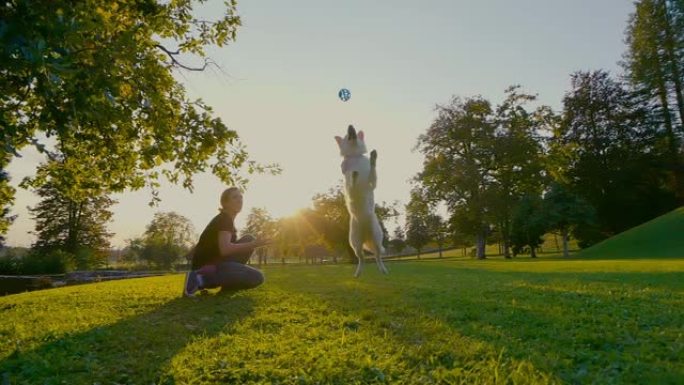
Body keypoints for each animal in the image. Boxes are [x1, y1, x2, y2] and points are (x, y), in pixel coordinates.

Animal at [336, 125, 390, 276]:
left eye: (352, 129)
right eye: (347, 134)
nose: (350, 126)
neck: (355, 157)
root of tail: (366, 236)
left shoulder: (372, 183)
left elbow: (372, 170)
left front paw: (373, 158)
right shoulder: (349, 183)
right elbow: (351, 182)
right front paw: (354, 175)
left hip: (377, 239)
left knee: (377, 256)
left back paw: (383, 270)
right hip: (355, 244)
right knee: (362, 259)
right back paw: (358, 272)